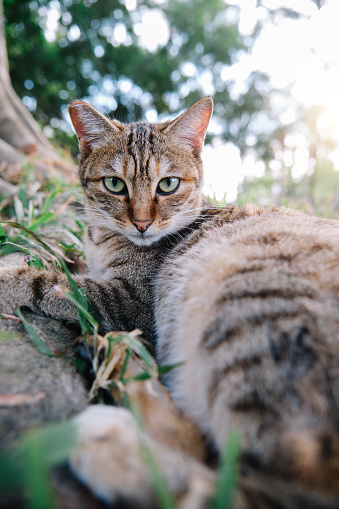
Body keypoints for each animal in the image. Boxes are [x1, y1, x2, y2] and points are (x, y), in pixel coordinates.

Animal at [1, 97, 339, 506]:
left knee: (247, 490)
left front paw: (10, 277)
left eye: (168, 184)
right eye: (114, 184)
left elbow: (48, 284)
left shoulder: (127, 303)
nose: (142, 224)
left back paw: (109, 438)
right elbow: (61, 263)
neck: (103, 239)